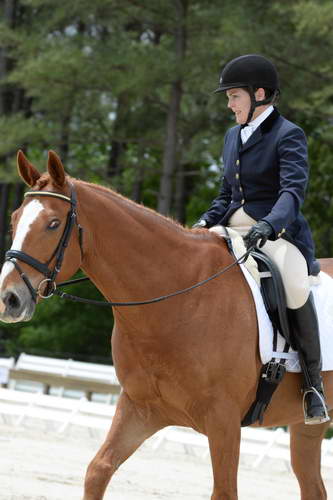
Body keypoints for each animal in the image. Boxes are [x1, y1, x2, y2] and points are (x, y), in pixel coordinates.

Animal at [0, 149, 332, 500]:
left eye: (53, 224)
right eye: (14, 219)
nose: (9, 299)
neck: (177, 300)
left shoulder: (224, 421)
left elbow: (224, 491)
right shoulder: (140, 408)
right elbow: (97, 470)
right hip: (305, 427)